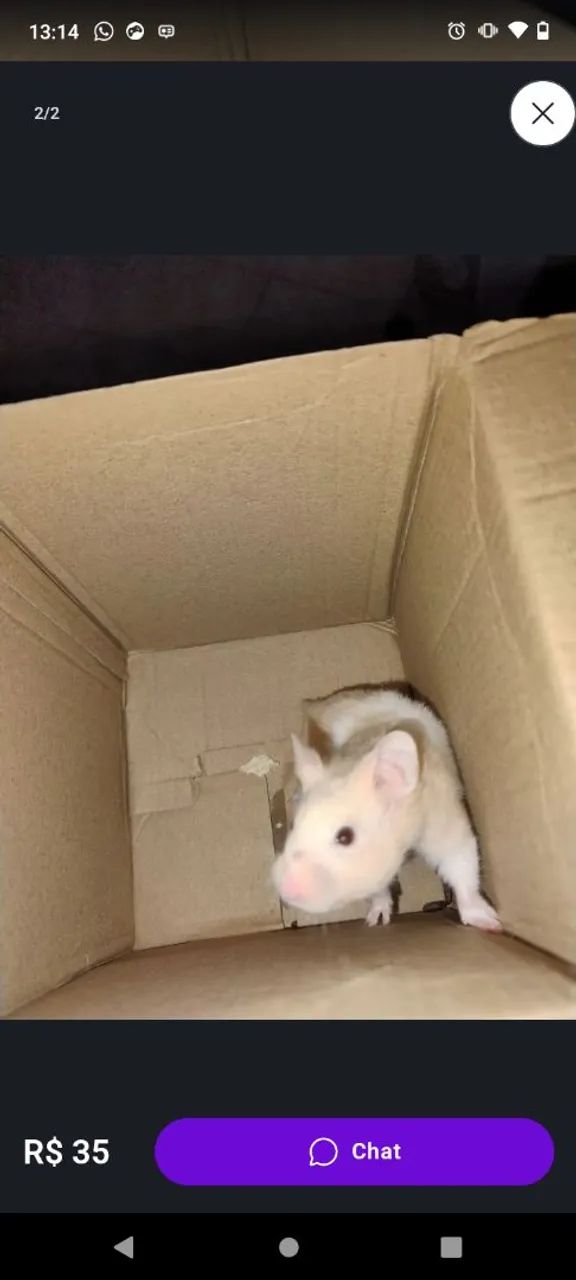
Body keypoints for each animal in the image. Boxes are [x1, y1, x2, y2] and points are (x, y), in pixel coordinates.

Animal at [272, 687, 501, 932]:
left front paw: (492, 923)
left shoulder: (445, 824)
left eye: (345, 837)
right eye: (293, 826)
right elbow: (379, 891)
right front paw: (376, 919)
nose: (285, 892)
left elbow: (461, 865)